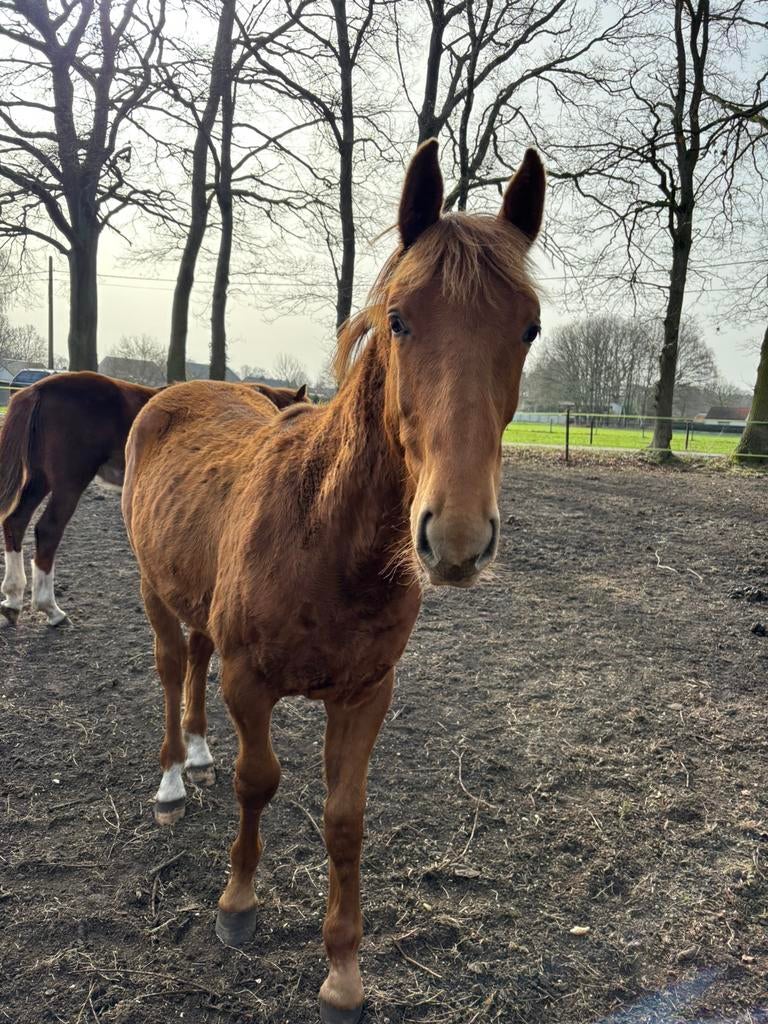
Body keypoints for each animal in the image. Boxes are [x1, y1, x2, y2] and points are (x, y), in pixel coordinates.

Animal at [0, 372, 307, 626]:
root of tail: (39, 389)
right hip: (69, 481)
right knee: (48, 530)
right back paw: (50, 608)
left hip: (39, 478)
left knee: (16, 521)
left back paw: (13, 599)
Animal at [122, 139, 545, 1024]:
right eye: (399, 319)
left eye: (528, 327)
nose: (456, 537)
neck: (325, 534)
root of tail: (174, 392)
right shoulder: (252, 682)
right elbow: (258, 781)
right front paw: (237, 905)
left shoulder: (365, 693)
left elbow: (344, 819)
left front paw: (344, 971)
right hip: (153, 591)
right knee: (174, 666)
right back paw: (176, 777)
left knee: (195, 660)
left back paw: (198, 753)